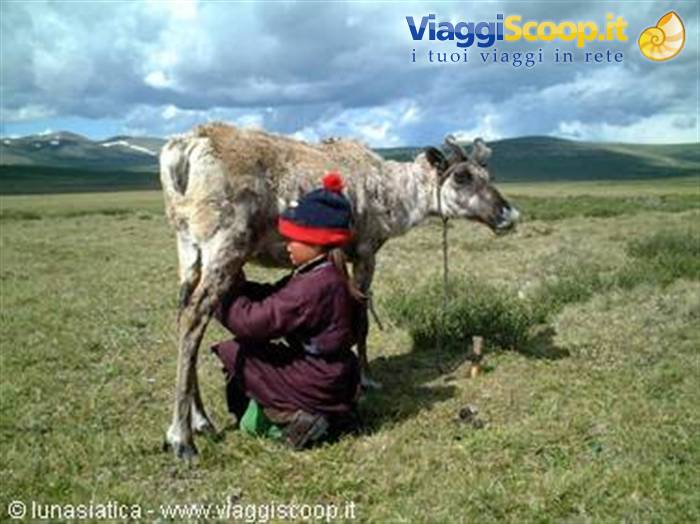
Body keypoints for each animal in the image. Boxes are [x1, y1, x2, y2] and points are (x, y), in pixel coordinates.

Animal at [159, 122, 519, 458]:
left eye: (487, 174)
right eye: (461, 177)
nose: (509, 214)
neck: (395, 195)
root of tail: (184, 148)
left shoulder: (341, 256)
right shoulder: (366, 251)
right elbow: (362, 320)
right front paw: (366, 379)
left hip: (187, 248)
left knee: (182, 313)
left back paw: (201, 420)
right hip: (225, 243)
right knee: (194, 317)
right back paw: (182, 438)